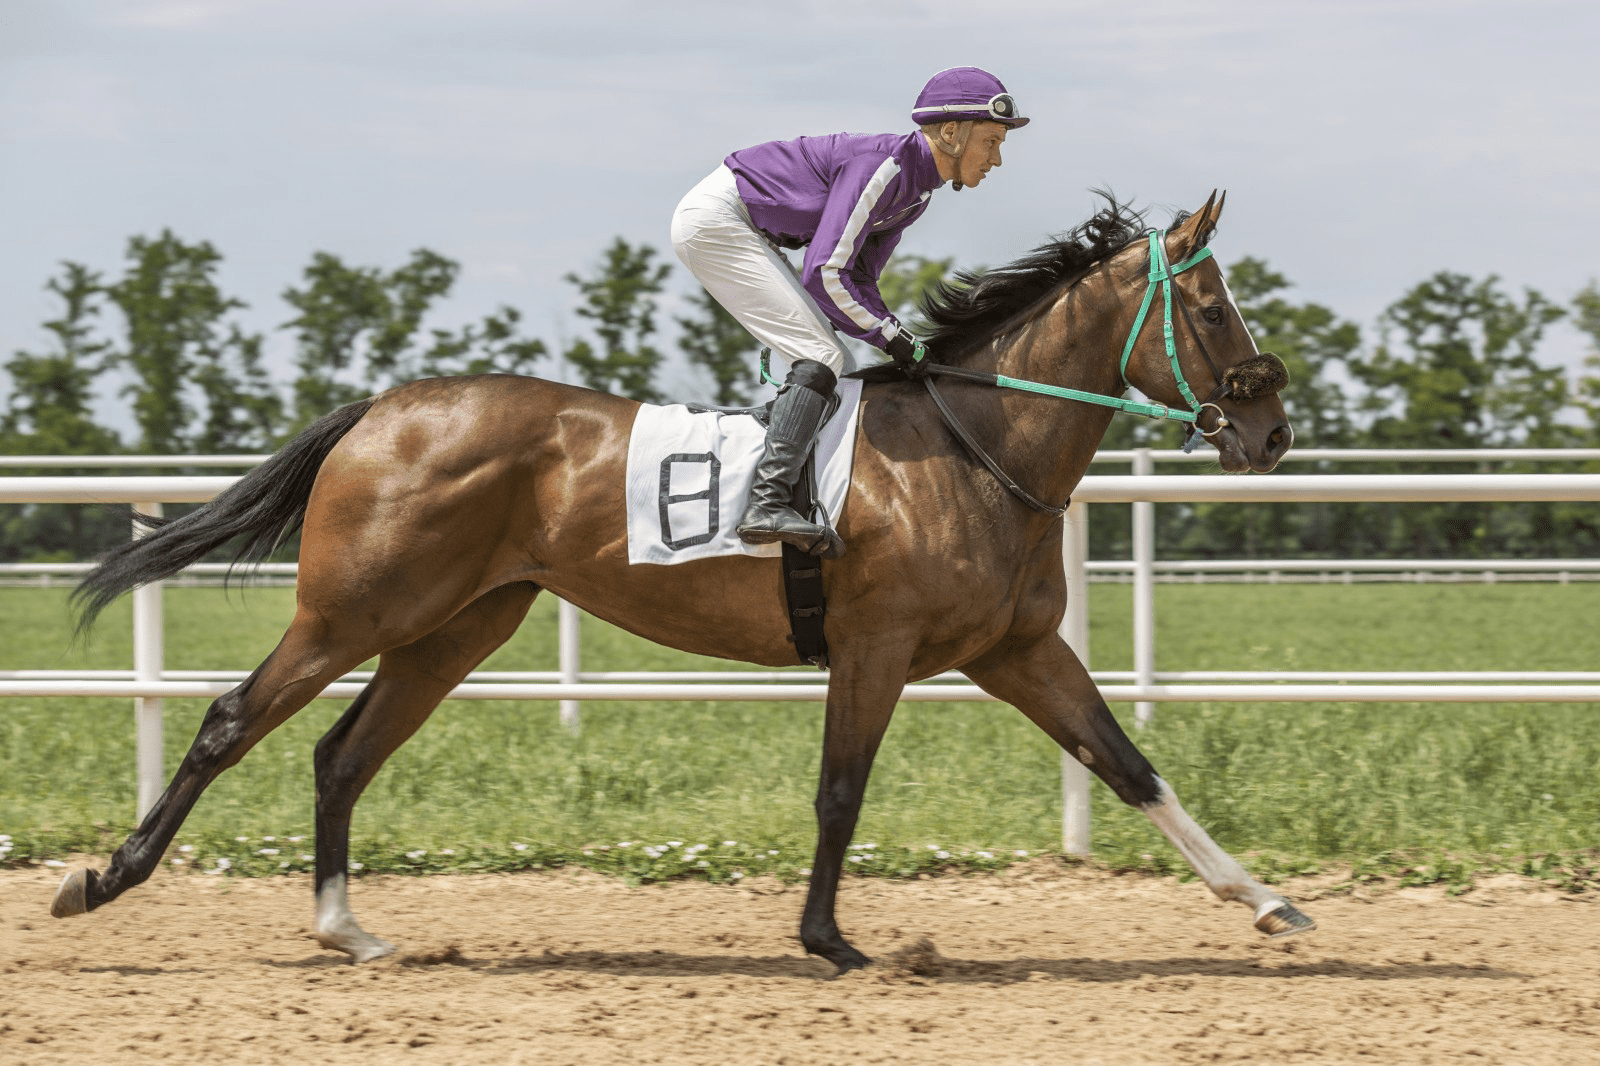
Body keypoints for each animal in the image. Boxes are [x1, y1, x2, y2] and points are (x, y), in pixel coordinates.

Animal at [50, 191, 1305, 973]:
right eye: (1208, 307)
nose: (1270, 429)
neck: (970, 446)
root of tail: (384, 408)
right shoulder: (878, 646)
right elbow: (839, 792)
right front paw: (828, 939)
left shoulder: (1016, 649)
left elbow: (1132, 765)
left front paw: (1267, 899)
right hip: (352, 607)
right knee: (230, 718)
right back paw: (104, 881)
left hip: (457, 625)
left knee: (340, 753)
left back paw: (345, 927)